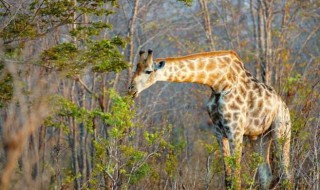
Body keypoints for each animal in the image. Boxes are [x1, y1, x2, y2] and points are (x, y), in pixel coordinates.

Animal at [129, 49, 292, 189]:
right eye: (135, 69)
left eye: (148, 71)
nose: (131, 89)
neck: (218, 82)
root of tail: (285, 108)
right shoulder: (219, 131)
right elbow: (228, 178)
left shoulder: (235, 130)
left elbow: (236, 178)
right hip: (259, 137)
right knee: (266, 176)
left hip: (281, 131)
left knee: (285, 174)